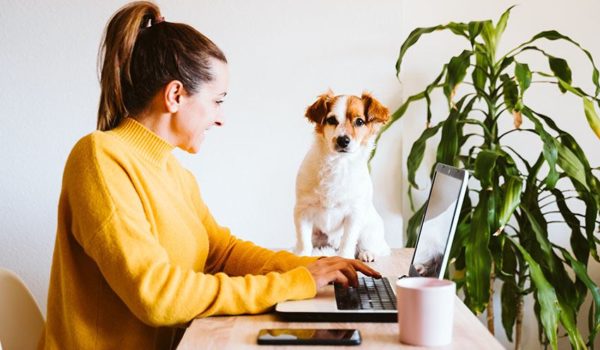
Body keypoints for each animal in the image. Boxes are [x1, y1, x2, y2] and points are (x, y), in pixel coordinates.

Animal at [292, 90, 394, 262]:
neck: (338, 164)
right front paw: (302, 255)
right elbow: (303, 240)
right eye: (331, 120)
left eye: (359, 121)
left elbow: (348, 240)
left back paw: (367, 253)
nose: (343, 140)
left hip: (369, 231)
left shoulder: (354, 214)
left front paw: (345, 258)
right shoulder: (303, 210)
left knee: (375, 248)